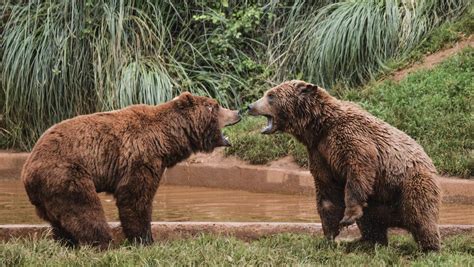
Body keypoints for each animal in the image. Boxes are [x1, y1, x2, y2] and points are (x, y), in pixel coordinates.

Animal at [21, 93, 241, 250]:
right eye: (215, 105)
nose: (238, 111)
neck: (167, 139)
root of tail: (26, 172)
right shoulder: (140, 159)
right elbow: (135, 199)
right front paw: (146, 240)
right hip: (66, 174)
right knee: (85, 211)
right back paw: (104, 243)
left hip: (49, 194)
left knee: (60, 221)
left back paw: (68, 244)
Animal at [248, 80, 440, 252]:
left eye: (271, 95)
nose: (250, 106)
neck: (319, 126)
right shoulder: (319, 152)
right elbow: (327, 192)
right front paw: (328, 236)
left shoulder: (350, 137)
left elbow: (357, 170)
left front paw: (347, 217)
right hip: (378, 202)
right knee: (372, 222)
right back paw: (365, 242)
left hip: (409, 181)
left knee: (420, 214)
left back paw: (429, 247)